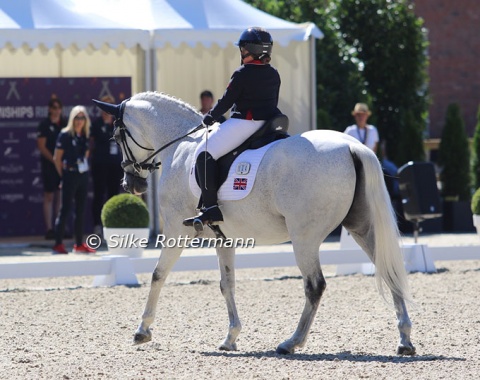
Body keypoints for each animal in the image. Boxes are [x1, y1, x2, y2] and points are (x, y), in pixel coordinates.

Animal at [94, 90, 416, 354]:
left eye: (116, 137)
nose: (130, 184)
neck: (182, 144)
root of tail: (352, 147)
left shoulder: (175, 230)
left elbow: (158, 275)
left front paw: (142, 331)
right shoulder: (222, 237)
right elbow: (227, 284)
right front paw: (230, 338)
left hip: (305, 237)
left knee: (315, 286)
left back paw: (291, 343)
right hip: (360, 228)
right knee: (388, 271)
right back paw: (405, 340)